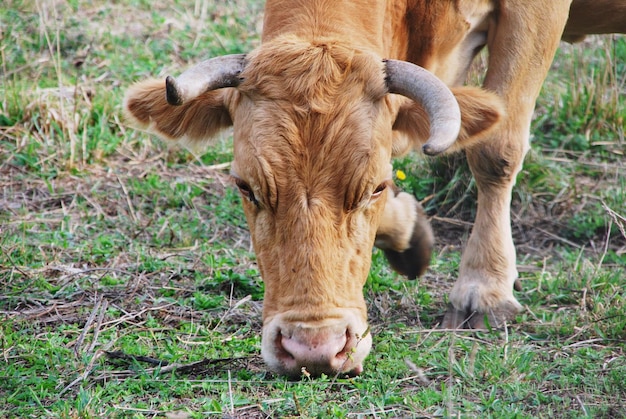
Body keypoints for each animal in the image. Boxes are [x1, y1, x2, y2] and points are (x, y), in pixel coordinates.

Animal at [123, 0, 624, 378]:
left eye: (373, 187)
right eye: (247, 188)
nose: (313, 349)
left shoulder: (534, 15)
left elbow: (494, 149)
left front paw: (485, 287)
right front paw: (410, 234)